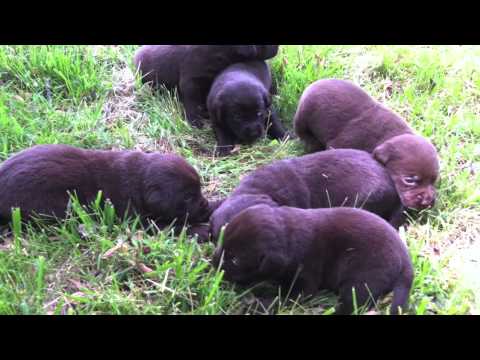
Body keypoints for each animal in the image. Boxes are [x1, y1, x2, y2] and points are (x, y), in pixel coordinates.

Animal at [0, 145, 214, 235]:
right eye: (188, 198)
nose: (205, 207)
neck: (140, 179)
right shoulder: (135, 220)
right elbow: (171, 227)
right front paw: (201, 230)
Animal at [212, 205, 414, 316]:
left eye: (235, 260)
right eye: (222, 242)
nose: (213, 264)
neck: (289, 236)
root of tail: (405, 260)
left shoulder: (304, 283)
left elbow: (284, 298)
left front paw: (257, 305)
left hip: (361, 279)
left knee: (356, 303)